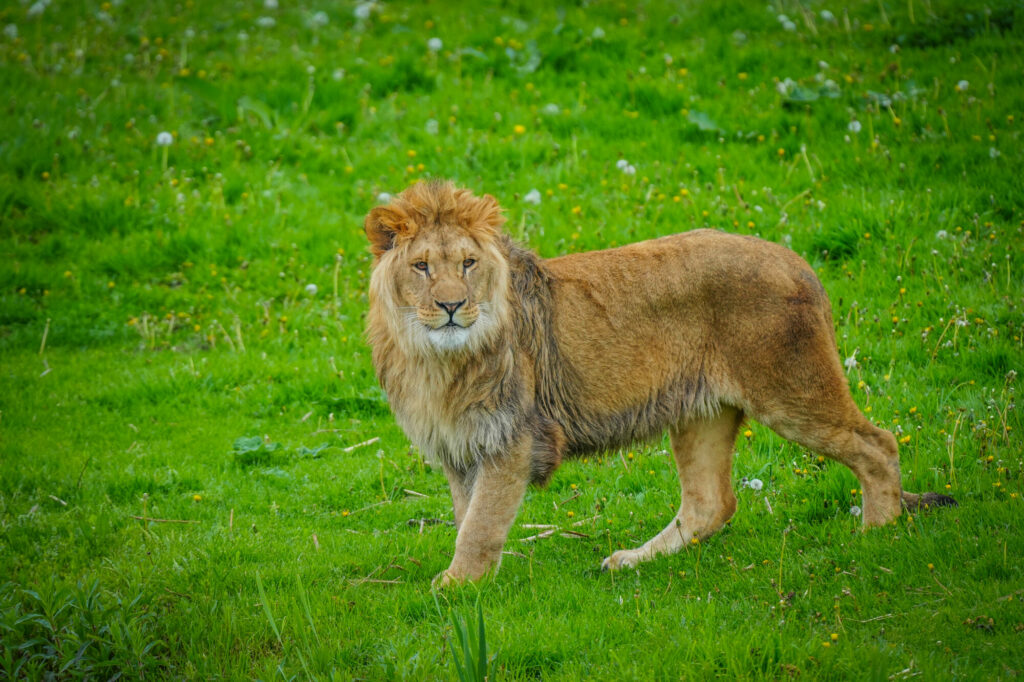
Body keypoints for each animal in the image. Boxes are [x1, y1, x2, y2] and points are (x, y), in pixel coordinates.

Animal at [363, 180, 955, 585]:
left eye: (467, 263)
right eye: (421, 267)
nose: (452, 306)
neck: (437, 359)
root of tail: (797, 260)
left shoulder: (515, 437)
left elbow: (482, 523)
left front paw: (455, 585)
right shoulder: (461, 447)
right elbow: (467, 516)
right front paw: (476, 582)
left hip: (793, 390)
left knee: (878, 445)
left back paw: (875, 534)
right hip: (701, 413)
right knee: (711, 503)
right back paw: (631, 561)